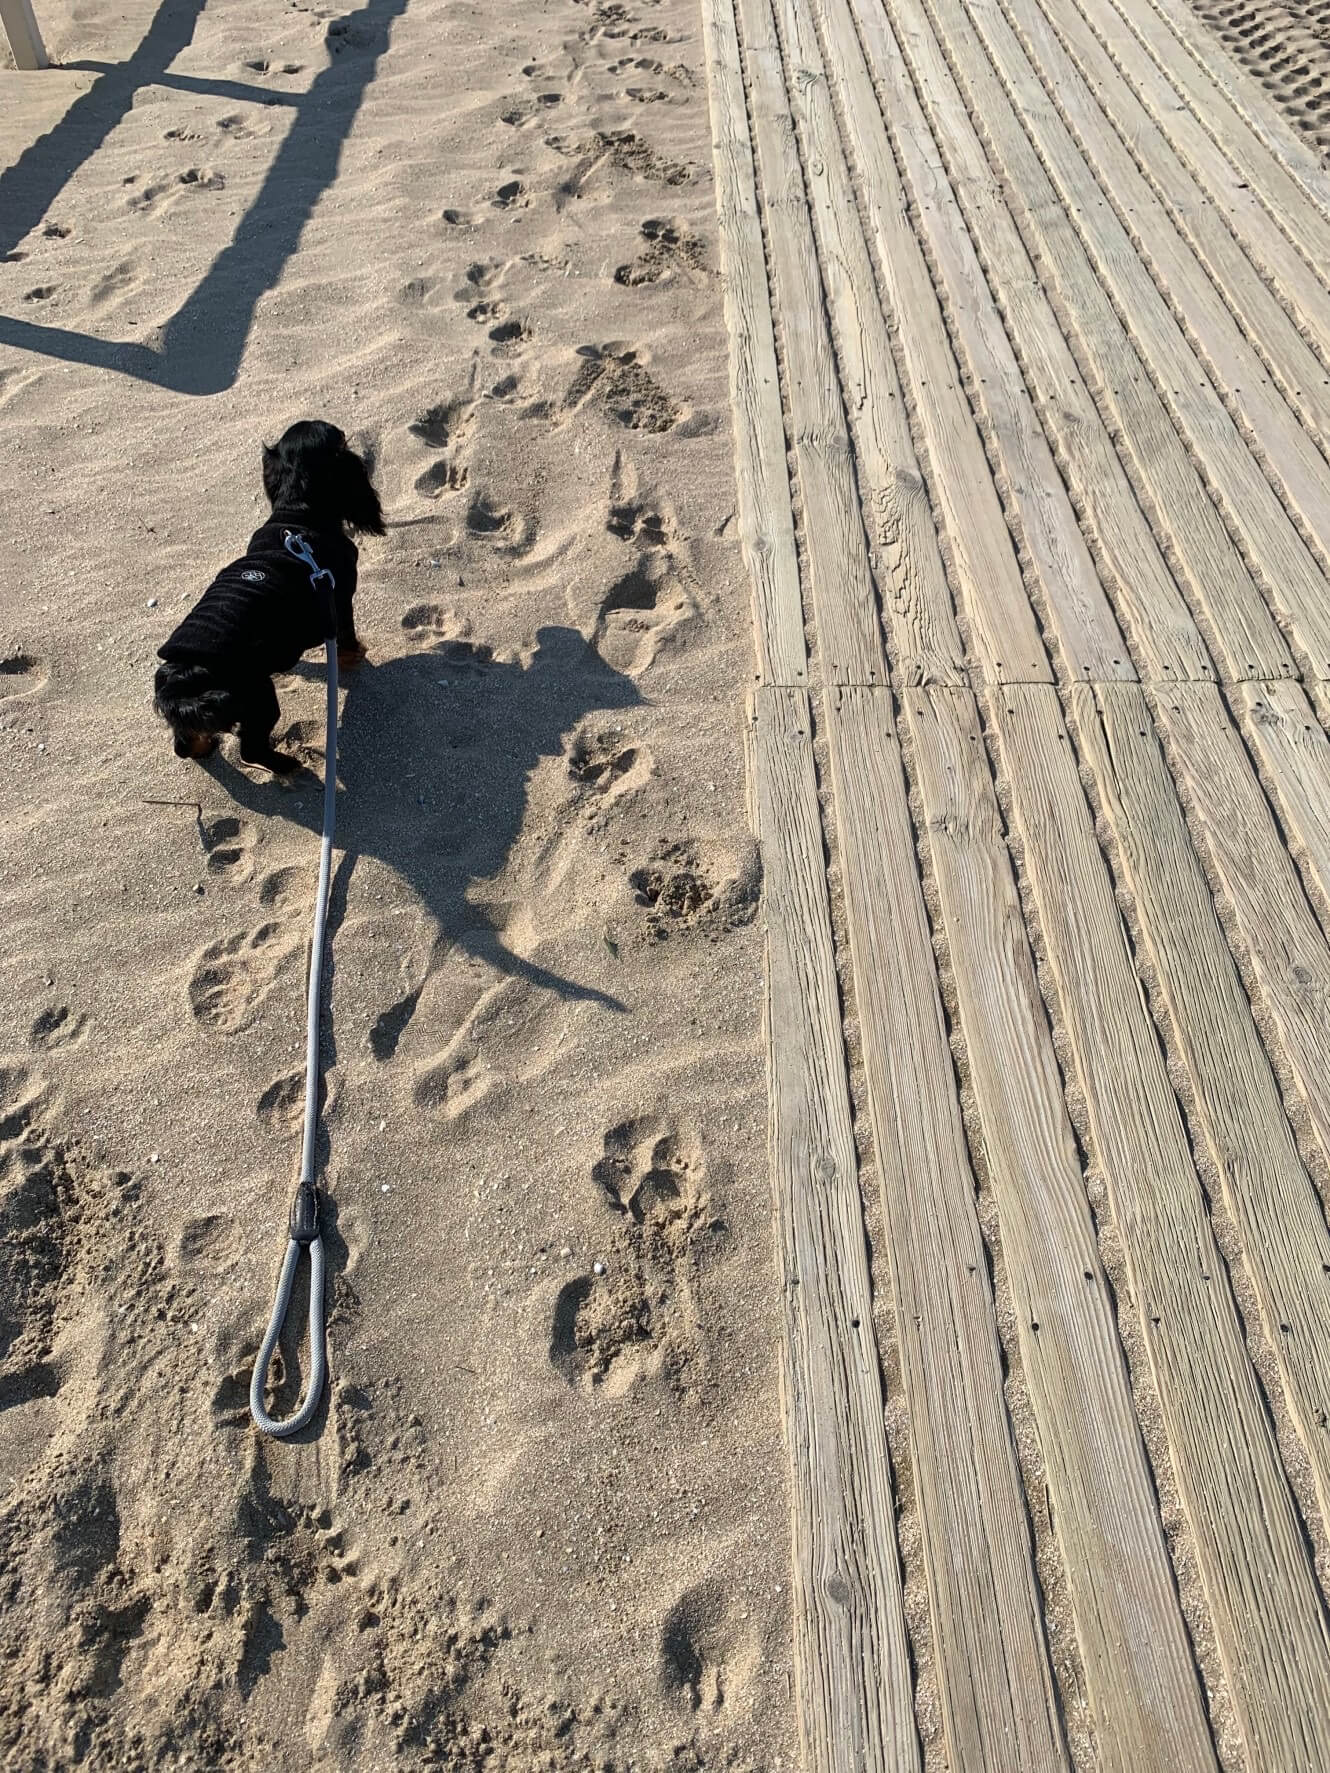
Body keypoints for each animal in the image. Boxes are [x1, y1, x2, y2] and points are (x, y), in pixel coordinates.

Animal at [156, 421, 388, 776]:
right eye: (343, 441)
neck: (297, 516)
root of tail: (183, 677)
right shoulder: (339, 599)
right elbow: (347, 638)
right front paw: (355, 658)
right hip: (260, 697)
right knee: (250, 750)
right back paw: (287, 766)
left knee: (184, 745)